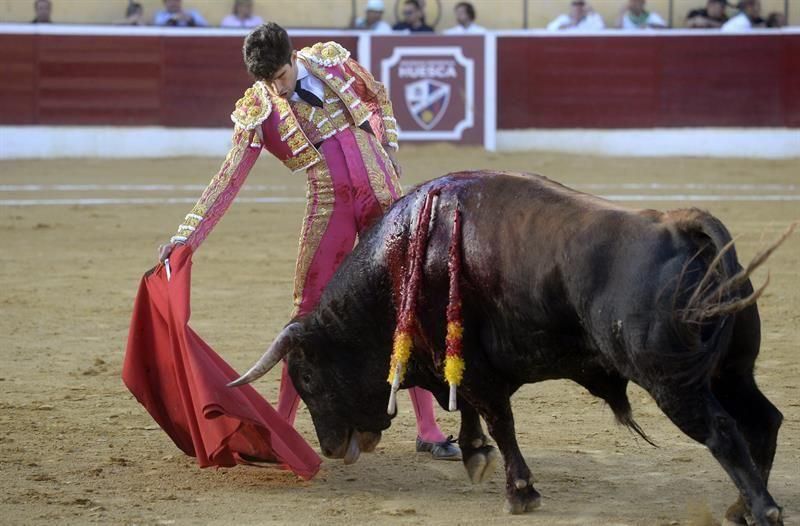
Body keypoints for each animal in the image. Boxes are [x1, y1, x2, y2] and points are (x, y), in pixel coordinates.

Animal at [228, 173, 792, 526]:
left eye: (309, 377)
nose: (329, 448)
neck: (405, 260)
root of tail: (679, 223)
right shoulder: (458, 364)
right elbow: (472, 412)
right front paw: (475, 454)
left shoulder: (476, 367)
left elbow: (500, 420)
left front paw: (520, 491)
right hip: (730, 372)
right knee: (763, 420)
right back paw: (741, 507)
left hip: (673, 381)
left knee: (723, 431)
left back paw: (763, 510)